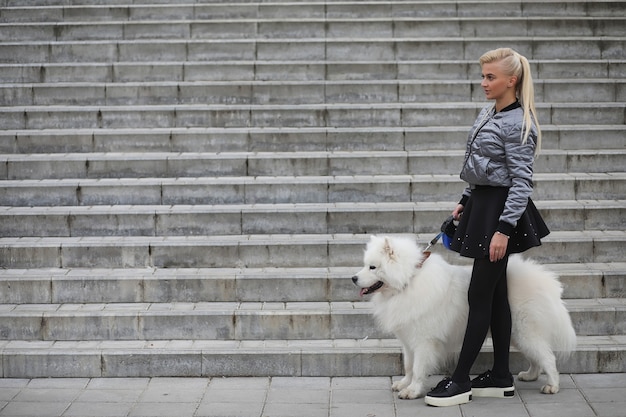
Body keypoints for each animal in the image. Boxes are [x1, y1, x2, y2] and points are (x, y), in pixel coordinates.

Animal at [352, 236, 576, 398]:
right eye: (364, 265)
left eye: (373, 267)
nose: (353, 278)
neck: (408, 282)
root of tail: (542, 278)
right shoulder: (407, 339)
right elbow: (408, 366)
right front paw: (403, 384)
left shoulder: (424, 341)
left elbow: (418, 368)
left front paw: (412, 391)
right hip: (516, 335)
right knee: (537, 357)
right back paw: (530, 375)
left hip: (525, 333)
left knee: (548, 357)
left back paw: (552, 386)